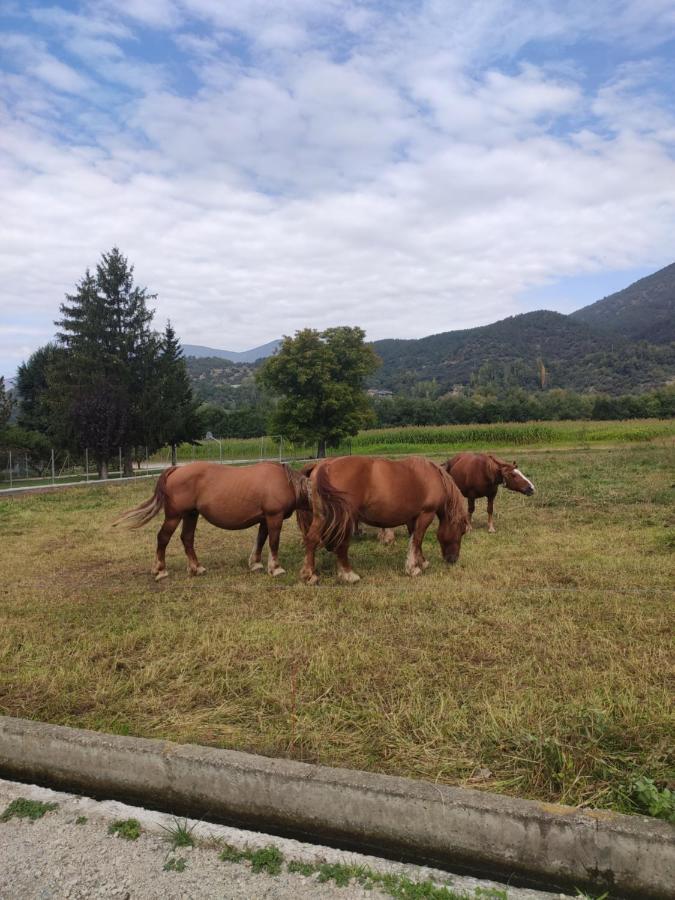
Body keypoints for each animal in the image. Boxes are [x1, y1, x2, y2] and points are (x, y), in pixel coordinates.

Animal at [113, 460, 308, 580]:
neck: (287, 483)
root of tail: (176, 469)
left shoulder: (264, 519)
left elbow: (260, 540)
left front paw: (256, 564)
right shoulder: (274, 517)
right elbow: (274, 542)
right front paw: (275, 568)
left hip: (191, 514)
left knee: (187, 538)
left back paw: (196, 567)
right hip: (174, 516)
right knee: (163, 538)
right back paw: (161, 570)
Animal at [298, 454, 468, 588]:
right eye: (461, 531)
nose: (453, 559)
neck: (432, 476)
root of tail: (323, 465)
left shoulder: (412, 518)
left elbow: (414, 541)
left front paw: (421, 562)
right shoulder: (426, 514)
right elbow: (417, 539)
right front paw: (413, 568)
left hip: (323, 516)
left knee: (311, 539)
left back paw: (310, 575)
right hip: (345, 519)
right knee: (341, 545)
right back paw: (348, 575)